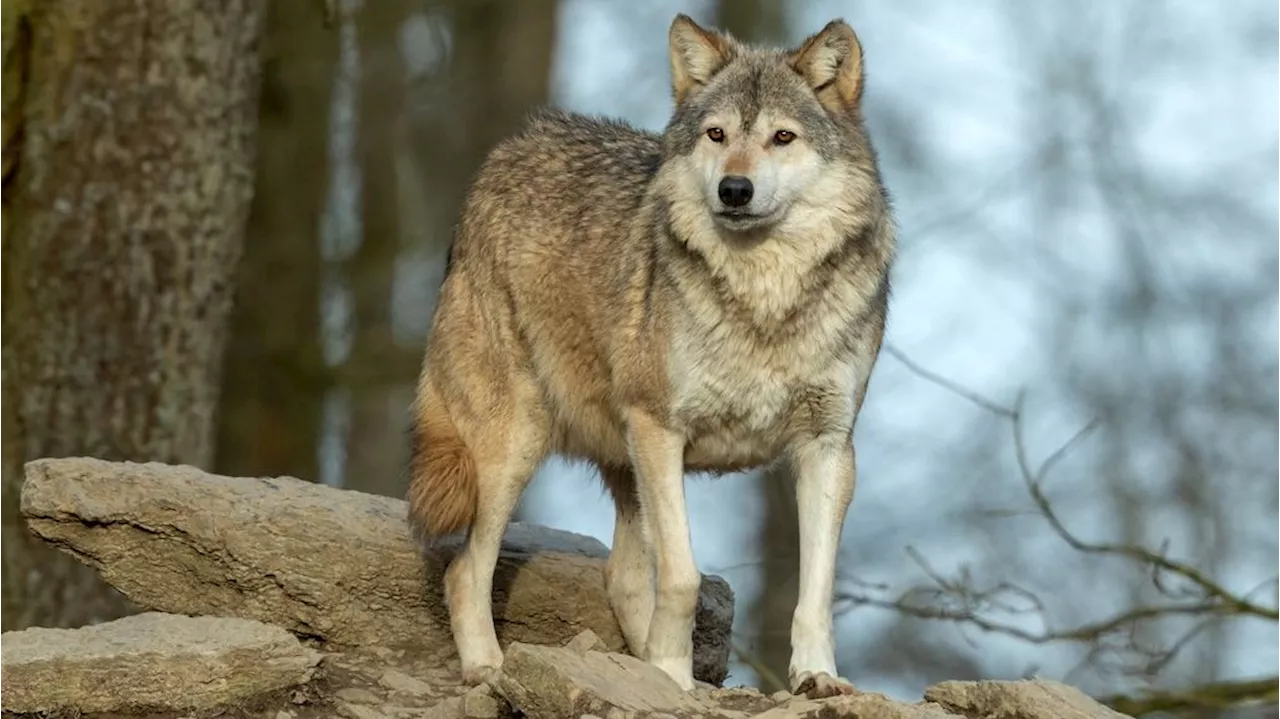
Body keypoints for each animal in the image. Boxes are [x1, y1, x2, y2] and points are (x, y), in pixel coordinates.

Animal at [404, 9, 896, 695]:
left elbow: (815, 590)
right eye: (717, 134)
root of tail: (507, 148)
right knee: (465, 571)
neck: (763, 301)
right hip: (516, 446)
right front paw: (670, 670)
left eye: (782, 137)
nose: (734, 189)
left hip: (618, 462)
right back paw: (490, 667)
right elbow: (684, 577)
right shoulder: (661, 428)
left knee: (623, 578)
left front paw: (816, 676)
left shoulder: (827, 445)